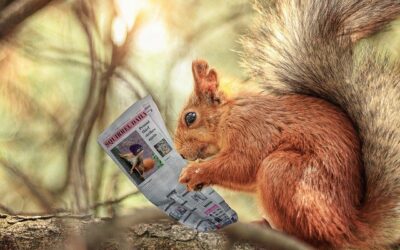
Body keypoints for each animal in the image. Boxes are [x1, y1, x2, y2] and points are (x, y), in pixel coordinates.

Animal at [173, 0, 400, 249]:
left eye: (190, 117)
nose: (181, 153)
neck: (229, 114)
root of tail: (351, 227)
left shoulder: (253, 129)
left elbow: (242, 164)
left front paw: (195, 171)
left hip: (283, 172)